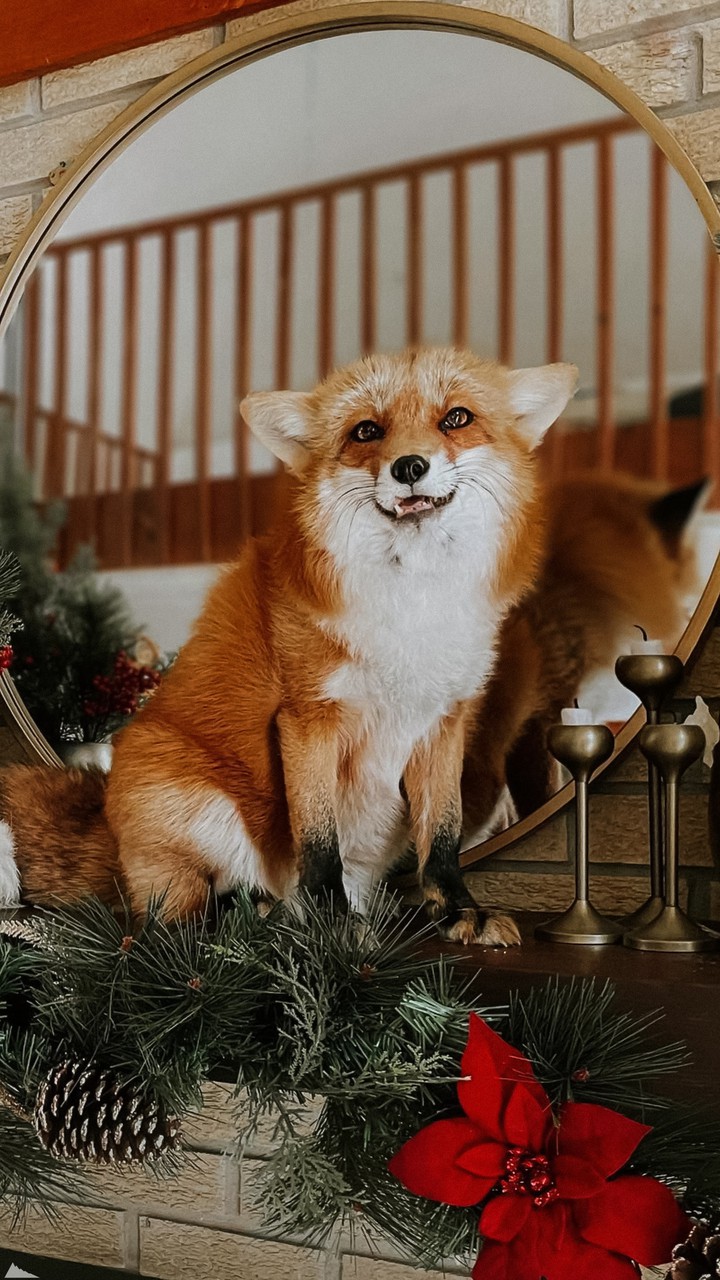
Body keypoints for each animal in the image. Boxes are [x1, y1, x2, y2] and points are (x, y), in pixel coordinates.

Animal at [0, 348, 578, 945]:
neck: (412, 604)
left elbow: (442, 837)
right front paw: (333, 926)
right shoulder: (308, 719)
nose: (409, 466)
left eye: (456, 418)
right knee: (161, 928)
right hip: (190, 805)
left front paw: (459, 910)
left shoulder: (443, 723)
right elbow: (319, 842)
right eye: (366, 430)